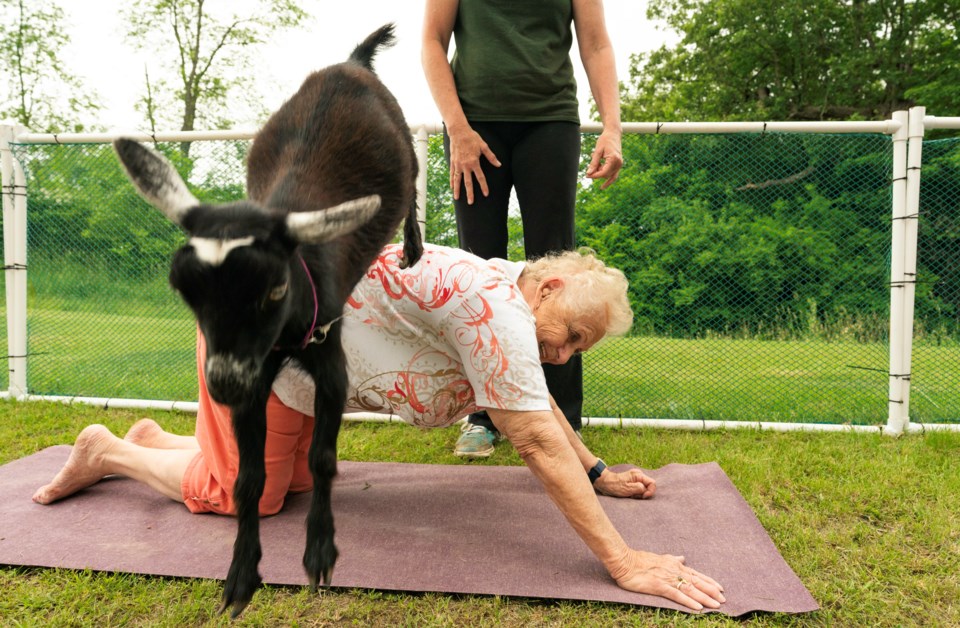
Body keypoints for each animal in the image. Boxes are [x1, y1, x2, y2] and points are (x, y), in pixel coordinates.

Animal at [112, 25, 420, 620]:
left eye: (275, 287)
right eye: (182, 288)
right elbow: (250, 479)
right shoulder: (254, 381)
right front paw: (240, 575)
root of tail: (351, 64)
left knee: (415, 189)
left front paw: (320, 552)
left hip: (407, 148)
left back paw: (414, 248)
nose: (224, 384)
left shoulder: (330, 364)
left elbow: (323, 458)